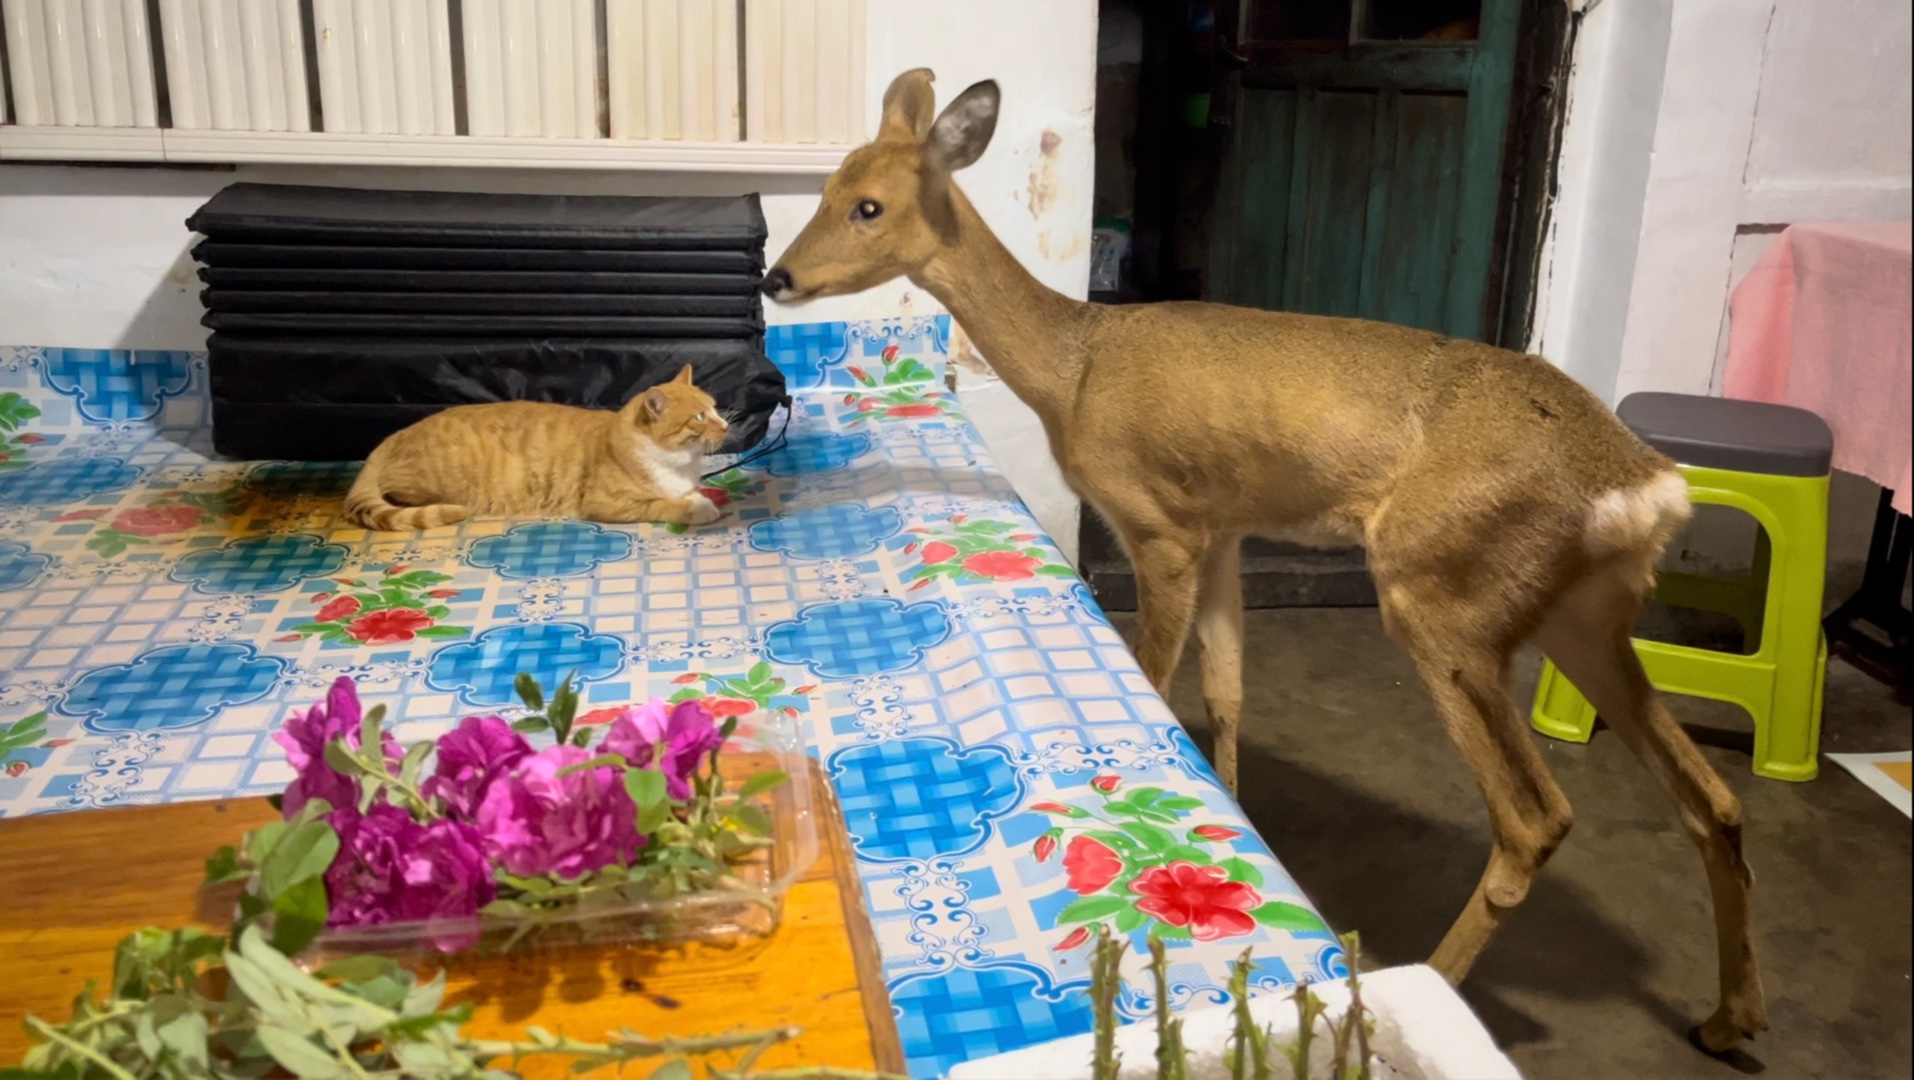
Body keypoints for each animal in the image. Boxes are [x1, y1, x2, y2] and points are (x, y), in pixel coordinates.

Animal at [344, 365, 731, 528]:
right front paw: (697, 508)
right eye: (700, 416)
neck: (680, 462)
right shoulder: (607, 503)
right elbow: (660, 504)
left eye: (714, 407)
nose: (726, 424)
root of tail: (395, 435)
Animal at [757, 67, 1760, 1057]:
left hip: (1442, 595)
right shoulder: (1225, 527)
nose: (779, 275)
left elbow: (1160, 678)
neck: (1073, 369)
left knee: (1537, 819)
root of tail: (1645, 486)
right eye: (831, 185)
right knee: (1713, 799)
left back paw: (1430, 985)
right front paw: (1233, 811)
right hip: (1583, 614)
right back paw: (1726, 1017)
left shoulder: (1157, 524)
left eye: (868, 205)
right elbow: (1229, 686)